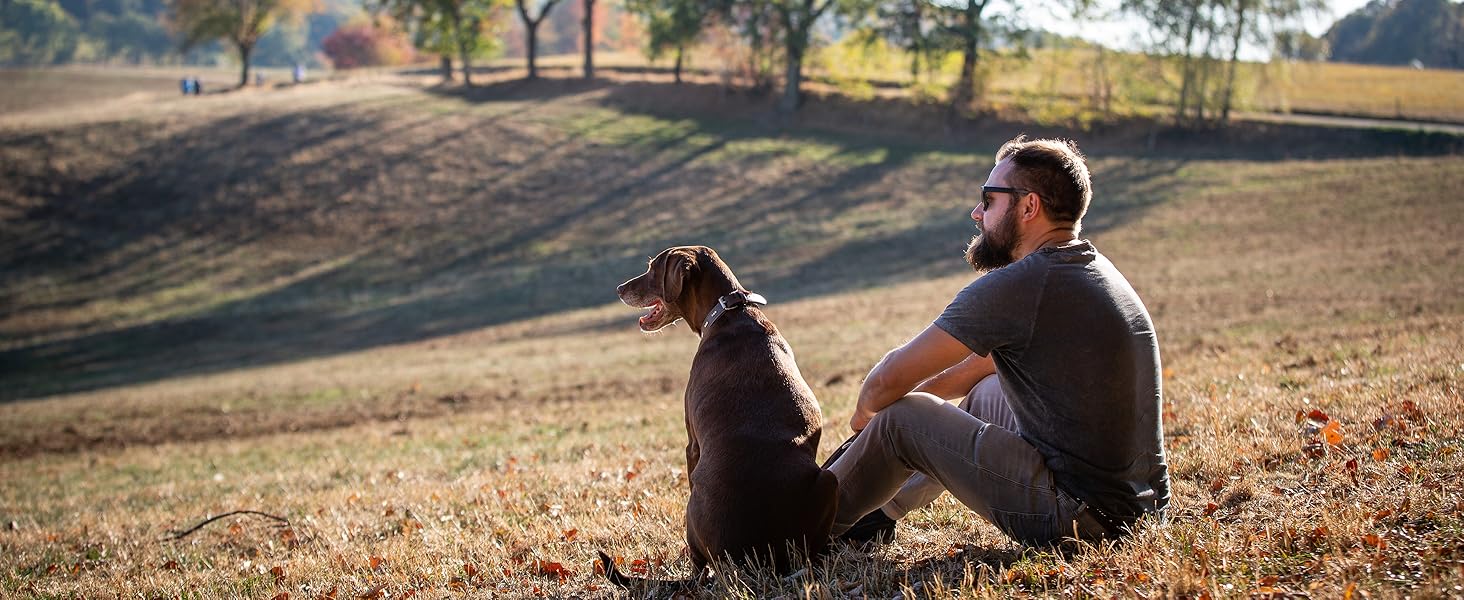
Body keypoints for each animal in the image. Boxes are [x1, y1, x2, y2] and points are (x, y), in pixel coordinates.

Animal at [603, 244, 837, 582]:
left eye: (652, 269)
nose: (620, 289)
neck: (729, 311)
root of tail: (751, 558)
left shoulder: (692, 444)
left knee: (699, 565)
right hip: (830, 481)